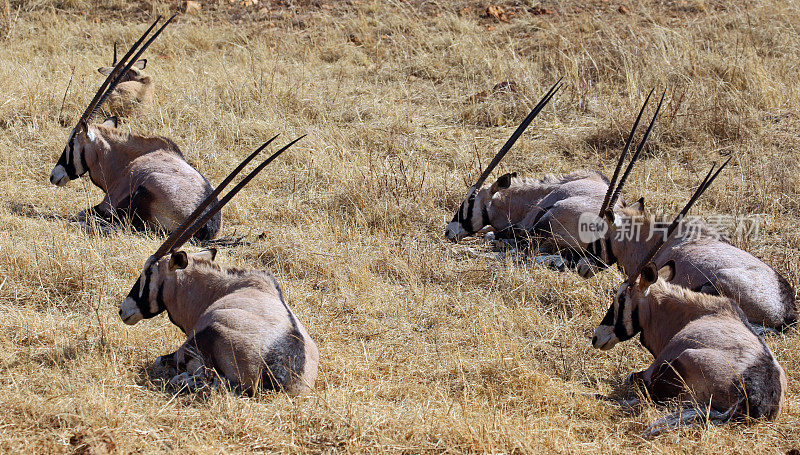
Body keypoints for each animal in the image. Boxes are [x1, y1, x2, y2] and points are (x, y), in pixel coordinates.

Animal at [50, 14, 222, 240]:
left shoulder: (108, 203)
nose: (54, 176)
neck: (126, 159)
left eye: (71, 143)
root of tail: (204, 225)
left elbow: (82, 212)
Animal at [119, 136, 318, 396]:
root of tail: (284, 373)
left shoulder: (186, 347)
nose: (123, 310)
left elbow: (160, 359)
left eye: (148, 272)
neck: (218, 290)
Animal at [592, 163, 788, 434]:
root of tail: (755, 394)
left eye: (621, 298)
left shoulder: (654, 368)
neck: (693, 312)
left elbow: (633, 378)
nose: (596, 337)